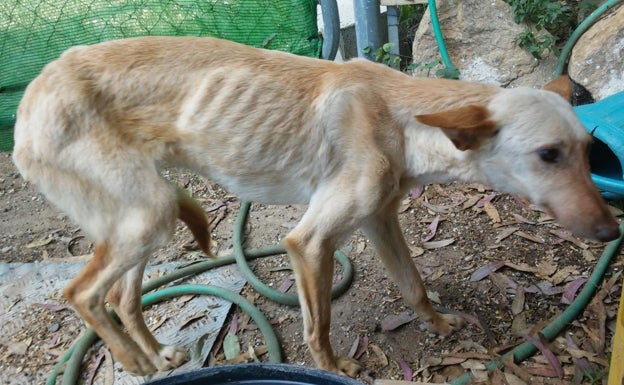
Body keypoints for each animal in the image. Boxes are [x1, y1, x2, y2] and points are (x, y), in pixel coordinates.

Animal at [12, 36, 616, 376]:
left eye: (587, 151)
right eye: (547, 155)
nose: (613, 231)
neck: (401, 120)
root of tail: (31, 93)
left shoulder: (380, 219)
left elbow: (413, 285)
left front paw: (441, 322)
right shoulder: (308, 243)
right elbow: (318, 323)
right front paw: (335, 368)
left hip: (140, 220)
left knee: (121, 296)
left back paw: (158, 357)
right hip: (148, 215)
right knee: (82, 293)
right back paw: (134, 361)